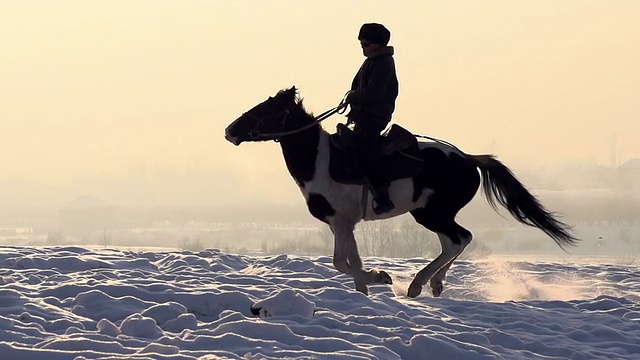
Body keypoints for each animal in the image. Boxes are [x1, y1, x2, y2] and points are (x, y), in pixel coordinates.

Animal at [225, 87, 580, 298]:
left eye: (265, 109)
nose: (229, 130)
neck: (319, 160)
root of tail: (467, 159)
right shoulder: (344, 224)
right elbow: (349, 260)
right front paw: (367, 287)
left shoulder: (341, 221)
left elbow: (343, 262)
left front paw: (379, 278)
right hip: (432, 214)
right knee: (455, 241)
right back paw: (435, 283)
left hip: (432, 212)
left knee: (458, 239)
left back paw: (417, 284)